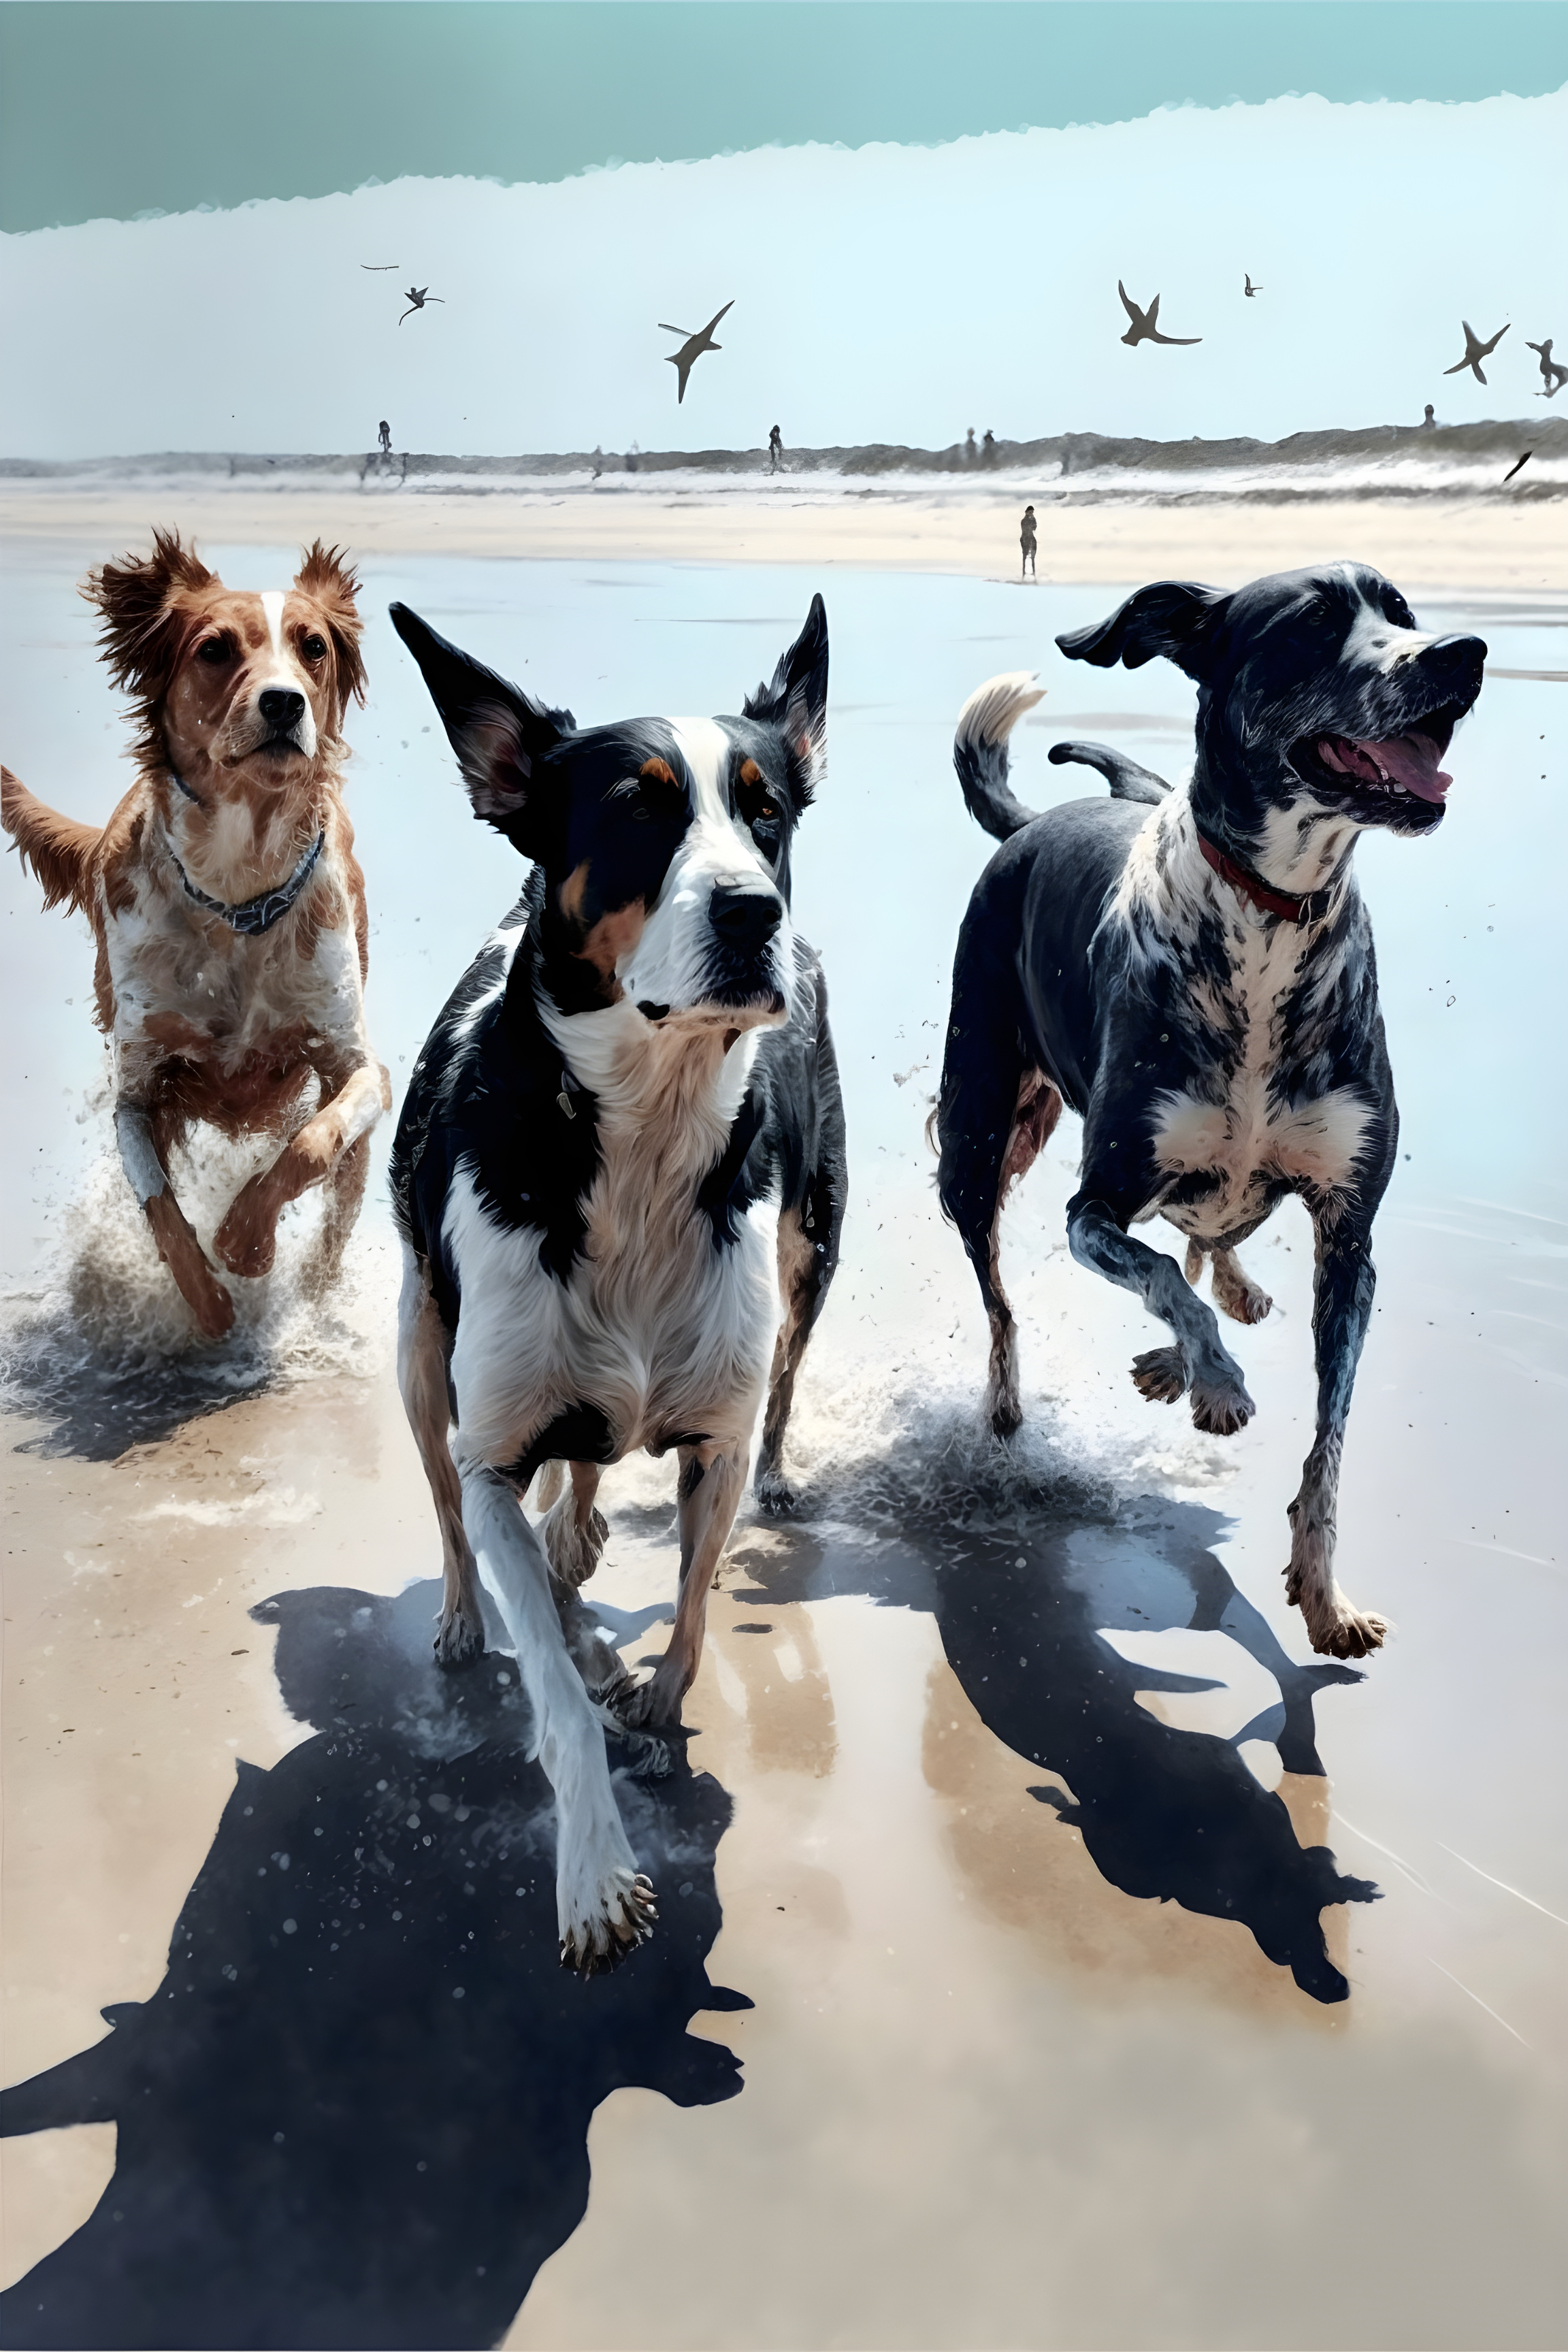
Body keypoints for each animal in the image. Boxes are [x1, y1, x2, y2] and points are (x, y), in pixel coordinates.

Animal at [1, 538, 390, 1345]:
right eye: (214, 649)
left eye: (313, 646)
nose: (283, 702)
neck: (239, 895)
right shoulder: (139, 1087)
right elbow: (158, 1205)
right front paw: (208, 1302)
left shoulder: (358, 1068)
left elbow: (310, 1145)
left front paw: (246, 1243)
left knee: (338, 1203)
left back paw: (316, 1292)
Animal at [940, 569, 1494, 1665]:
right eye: (1314, 623)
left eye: (1403, 611)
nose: (1463, 654)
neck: (1274, 917)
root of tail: (1035, 823)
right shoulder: (1095, 1207)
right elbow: (1156, 1273)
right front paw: (1222, 1383)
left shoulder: (1350, 1235)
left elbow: (1328, 1438)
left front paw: (1325, 1596)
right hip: (980, 1137)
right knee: (1004, 1299)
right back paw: (1021, 1403)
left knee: (1211, 1242)